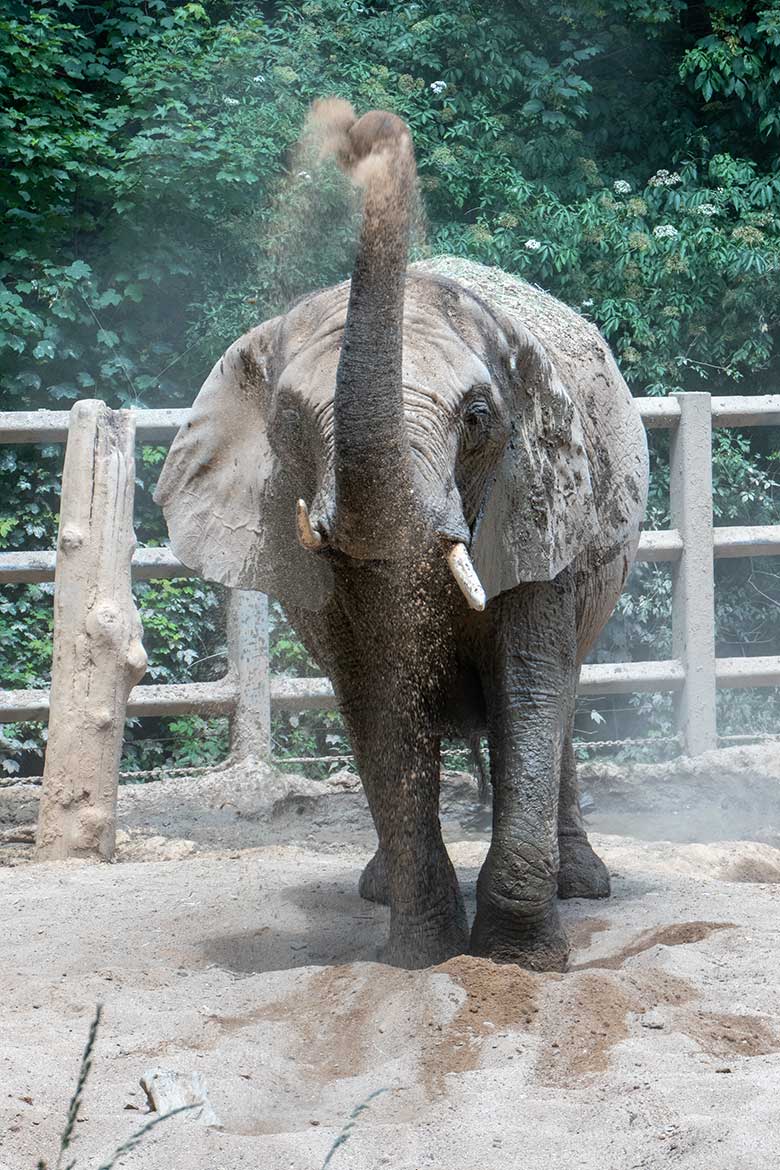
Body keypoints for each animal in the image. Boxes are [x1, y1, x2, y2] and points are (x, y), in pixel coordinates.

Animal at [155, 105, 650, 973]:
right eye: (289, 424)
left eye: (479, 419)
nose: (361, 131)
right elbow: (381, 701)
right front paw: (424, 956)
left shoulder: (541, 507)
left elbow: (529, 684)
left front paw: (518, 962)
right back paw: (378, 890)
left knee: (560, 698)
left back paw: (584, 886)